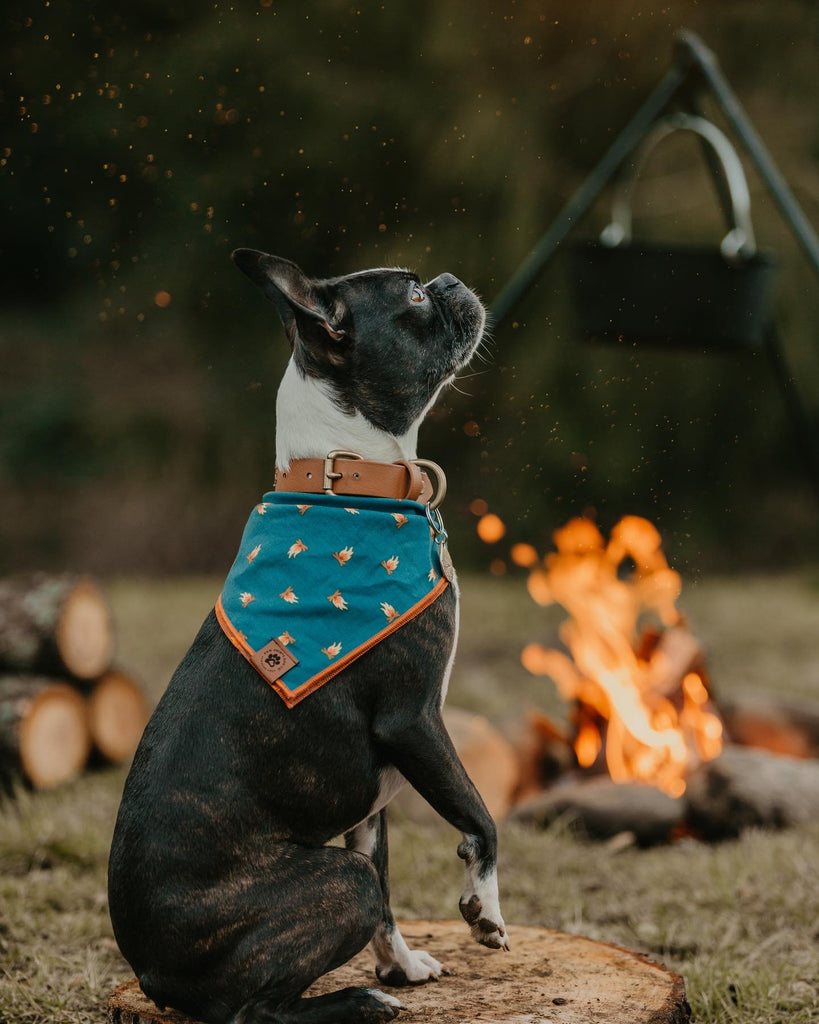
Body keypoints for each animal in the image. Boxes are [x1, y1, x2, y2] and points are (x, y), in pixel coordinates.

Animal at [106, 247, 505, 1024]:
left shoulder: (377, 785)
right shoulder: (415, 720)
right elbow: (479, 817)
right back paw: (357, 1001)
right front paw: (485, 912)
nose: (447, 281)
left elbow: (388, 884)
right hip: (336, 881)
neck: (348, 481)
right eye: (414, 297)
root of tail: (151, 973)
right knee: (253, 1009)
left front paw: (402, 966)